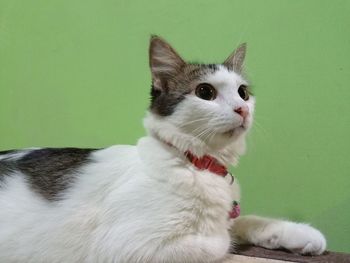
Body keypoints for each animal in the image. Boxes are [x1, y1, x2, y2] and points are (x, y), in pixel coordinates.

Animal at [0, 35, 326, 263]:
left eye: (243, 92)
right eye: (205, 92)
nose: (242, 109)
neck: (195, 163)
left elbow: (246, 219)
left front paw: (300, 234)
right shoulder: (127, 248)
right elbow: (219, 240)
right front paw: (223, 235)